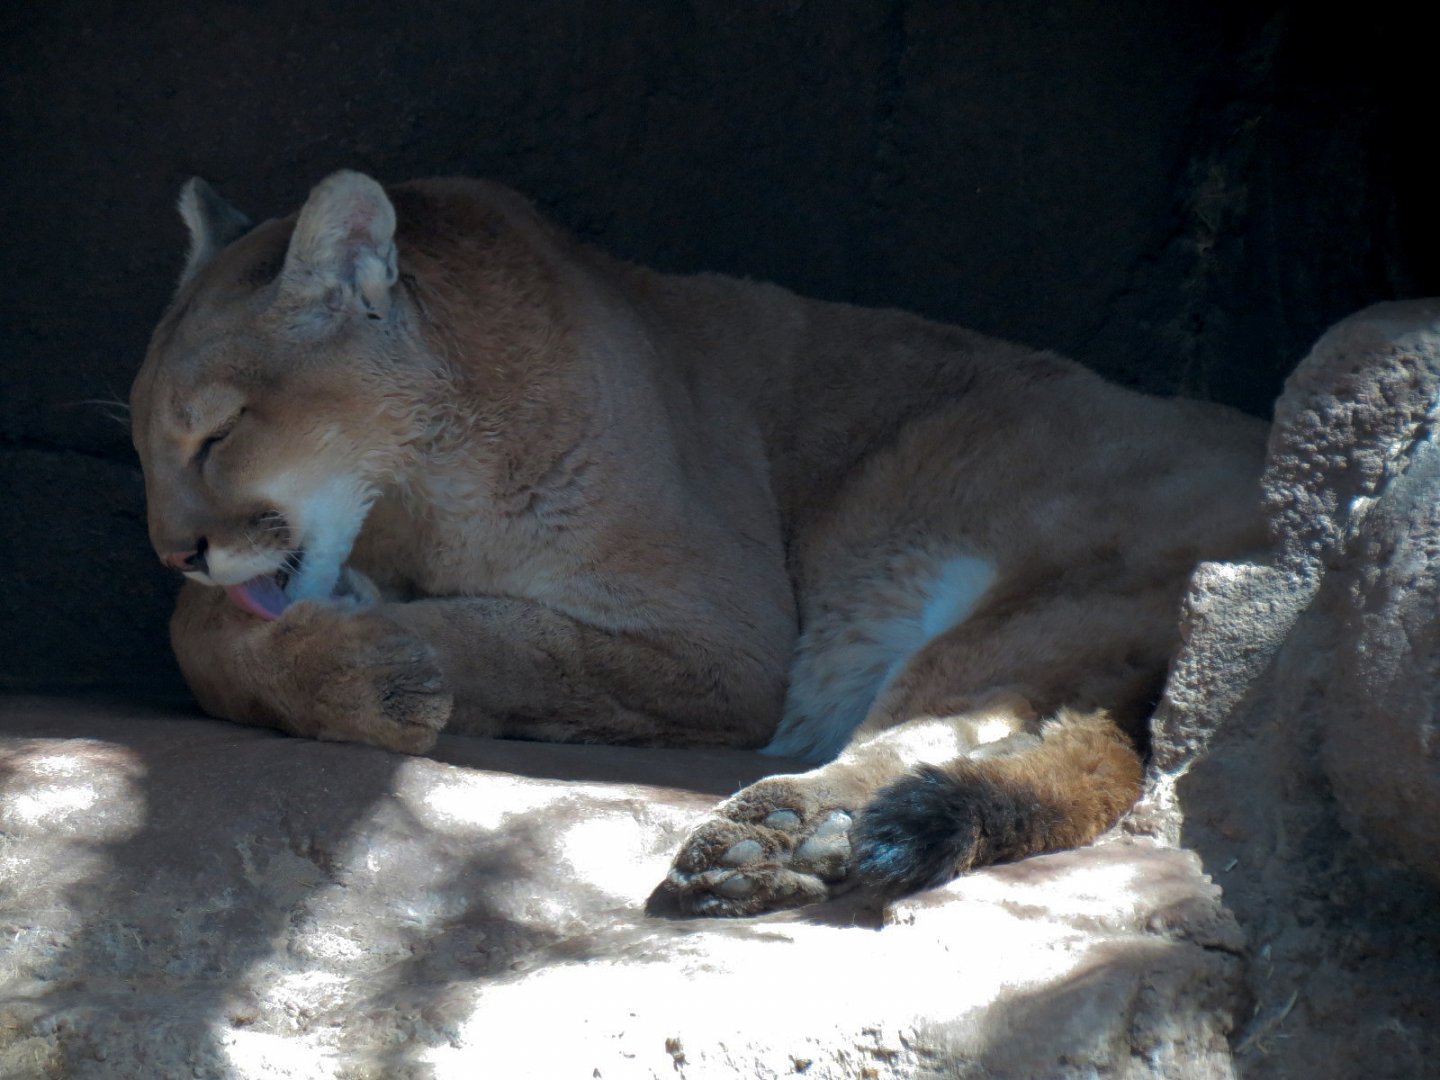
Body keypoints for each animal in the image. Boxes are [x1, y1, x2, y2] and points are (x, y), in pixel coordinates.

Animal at [130, 170, 1266, 915]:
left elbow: (512, 642)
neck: (417, 477)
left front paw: (381, 668)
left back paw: (785, 832)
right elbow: (199, 629)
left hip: (1032, 587)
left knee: (933, 726)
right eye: (142, 444)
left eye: (217, 434)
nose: (172, 549)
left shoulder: (727, 647)